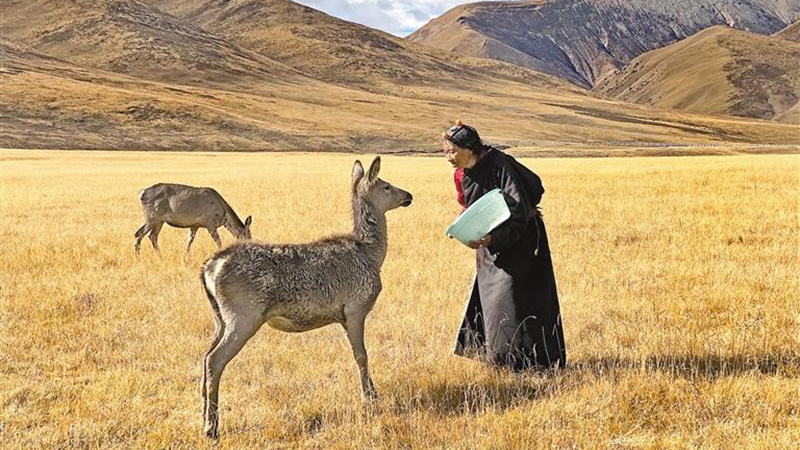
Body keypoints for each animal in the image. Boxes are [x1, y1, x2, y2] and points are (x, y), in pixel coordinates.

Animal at [199, 157, 412, 439]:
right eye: (386, 186)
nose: (408, 195)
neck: (371, 255)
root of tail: (209, 267)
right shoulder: (355, 307)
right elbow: (362, 355)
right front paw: (369, 398)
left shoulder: (342, 316)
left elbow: (357, 353)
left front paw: (373, 394)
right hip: (243, 315)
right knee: (214, 360)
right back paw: (211, 428)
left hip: (219, 318)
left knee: (203, 358)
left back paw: (203, 418)